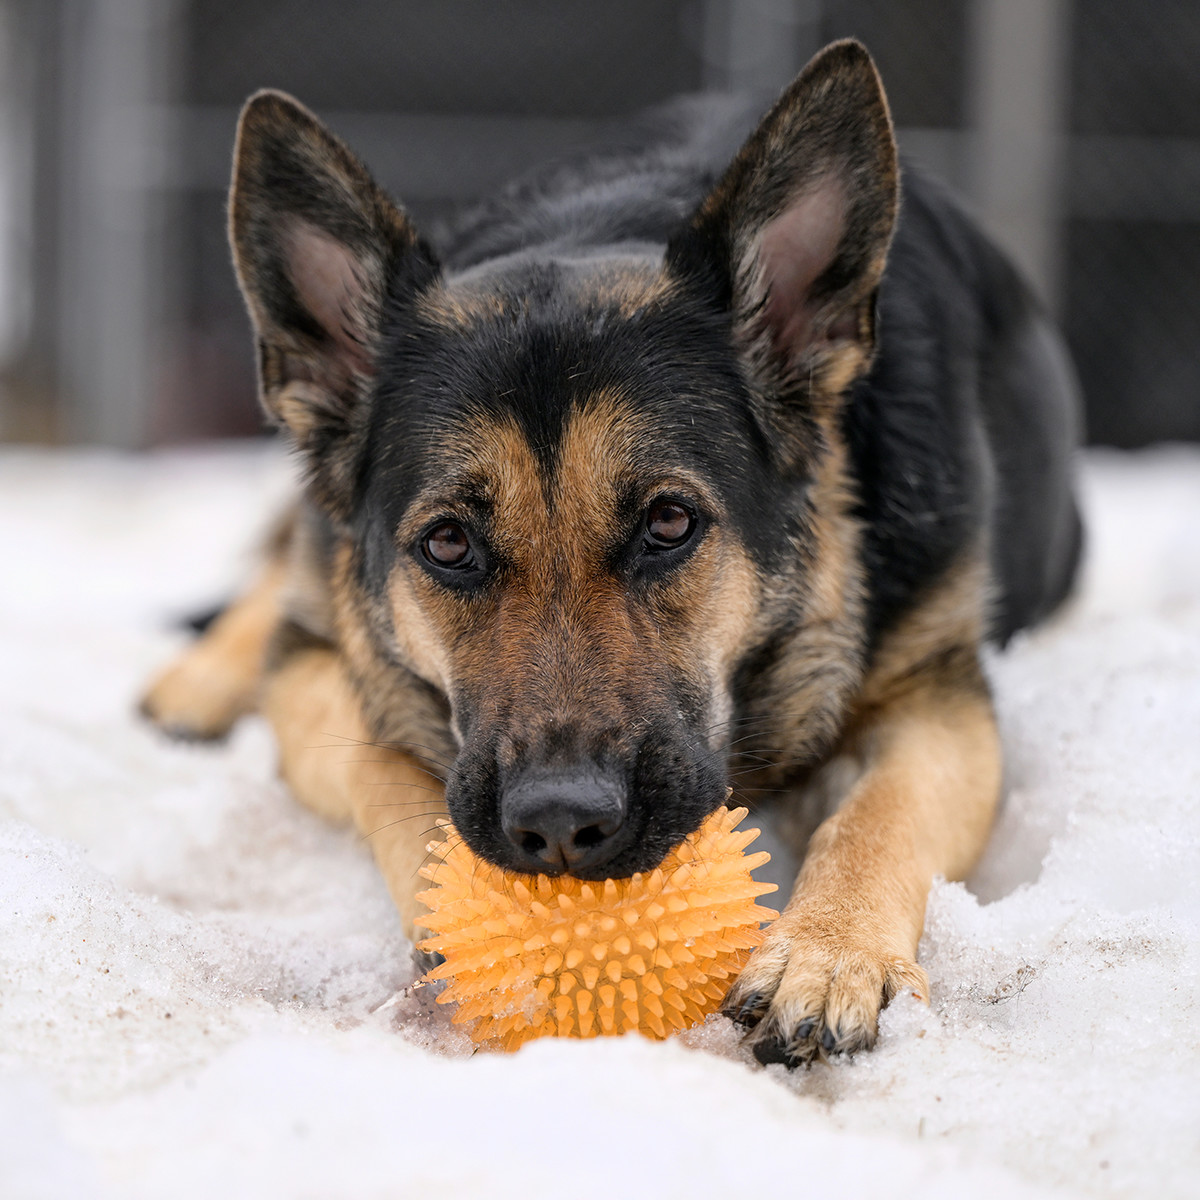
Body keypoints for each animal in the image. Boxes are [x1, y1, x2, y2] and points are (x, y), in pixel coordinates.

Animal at [140, 39, 1080, 1070]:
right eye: (449, 542)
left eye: (668, 524)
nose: (560, 824)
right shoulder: (320, 670)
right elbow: (388, 772)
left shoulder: (941, 696)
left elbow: (880, 815)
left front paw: (830, 952)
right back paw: (196, 678)